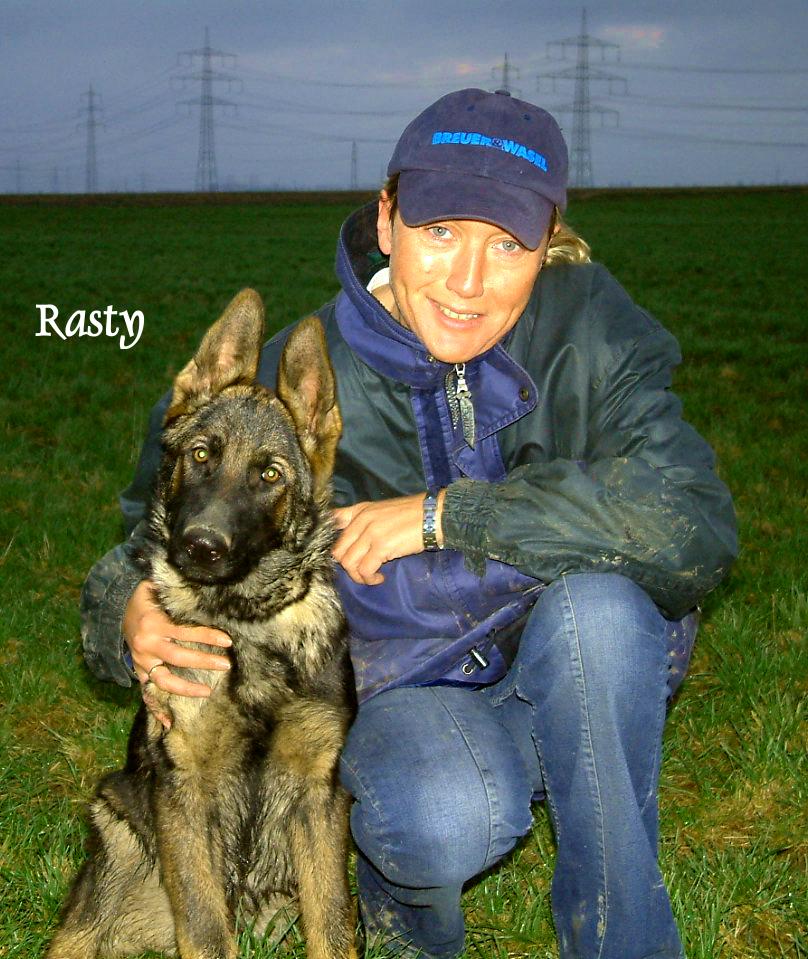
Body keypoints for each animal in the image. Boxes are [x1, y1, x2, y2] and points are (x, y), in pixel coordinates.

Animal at [47, 289, 357, 959]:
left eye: (270, 474)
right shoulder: (186, 789)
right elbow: (207, 926)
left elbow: (334, 924)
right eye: (200, 456)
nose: (200, 546)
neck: (246, 625)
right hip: (115, 830)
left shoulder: (319, 796)